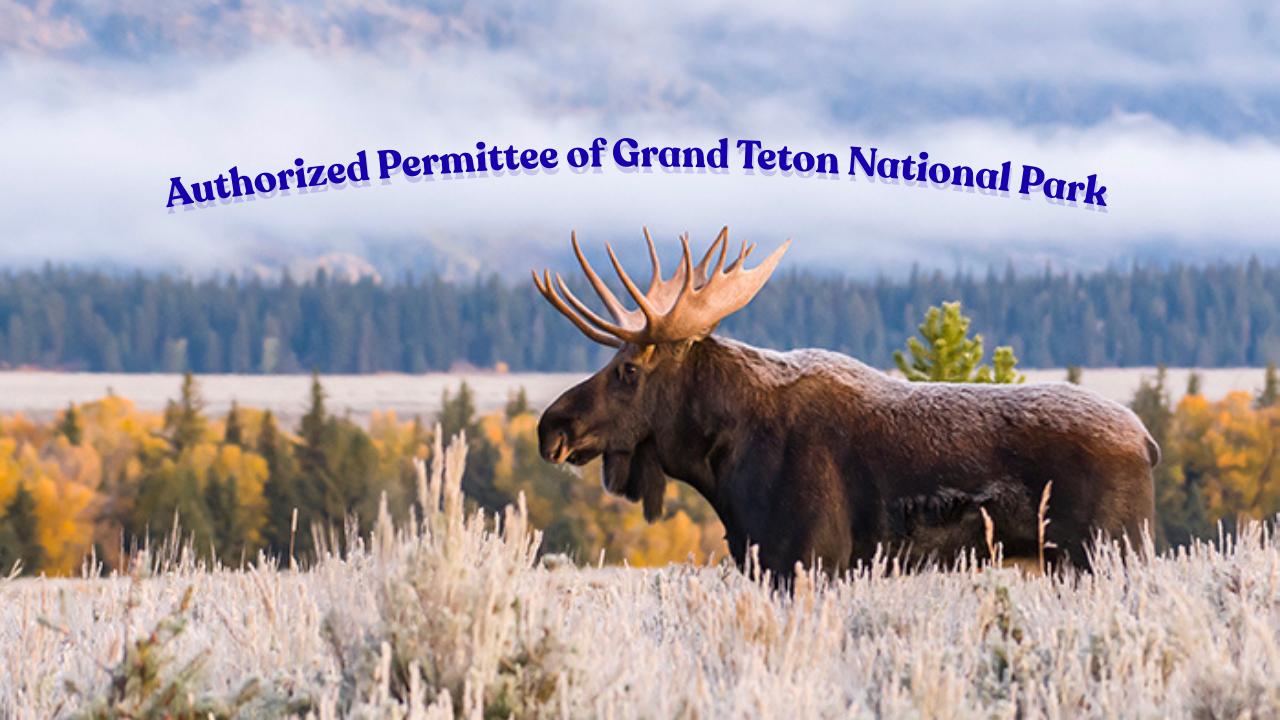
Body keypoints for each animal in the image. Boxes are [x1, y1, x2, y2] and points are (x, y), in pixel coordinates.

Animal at [533, 228, 1157, 579]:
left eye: (628, 369)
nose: (550, 427)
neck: (724, 466)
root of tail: (1148, 443)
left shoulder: (808, 557)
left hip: (1108, 553)